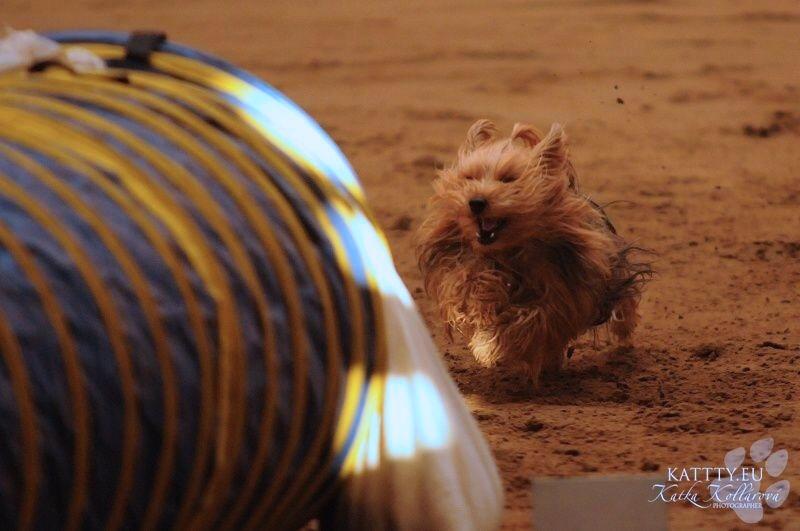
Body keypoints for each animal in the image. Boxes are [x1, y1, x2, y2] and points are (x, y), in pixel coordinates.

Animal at [417, 119, 651, 386]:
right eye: (469, 178)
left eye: (508, 179)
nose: (475, 202)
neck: (510, 251)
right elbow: (471, 284)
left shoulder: (561, 296)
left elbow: (532, 321)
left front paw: (495, 347)